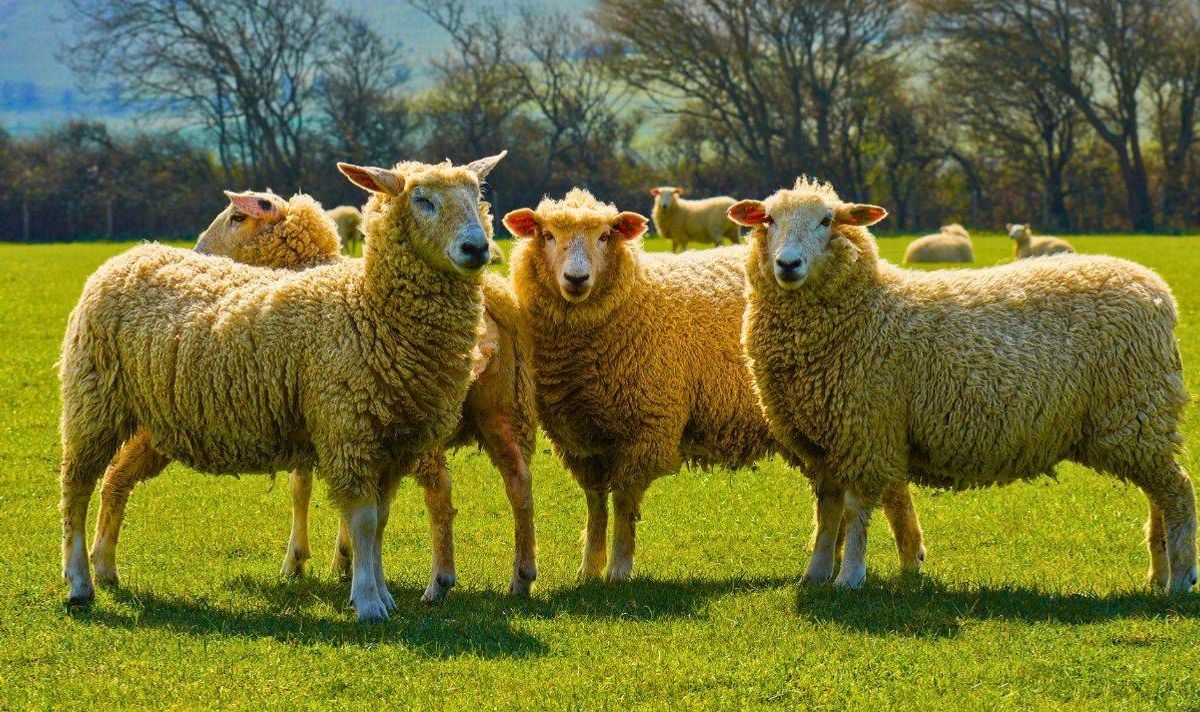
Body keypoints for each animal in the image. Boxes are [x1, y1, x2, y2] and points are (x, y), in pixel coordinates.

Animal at [59, 153, 505, 621]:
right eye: (422, 199)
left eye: (477, 197)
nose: (477, 249)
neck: (367, 309)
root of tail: (133, 253)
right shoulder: (346, 431)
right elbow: (361, 520)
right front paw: (367, 600)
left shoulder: (393, 445)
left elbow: (379, 521)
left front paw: (380, 593)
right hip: (92, 399)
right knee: (76, 486)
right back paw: (79, 581)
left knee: (108, 479)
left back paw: (103, 569)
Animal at [504, 188, 924, 582]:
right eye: (547, 235)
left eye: (606, 236)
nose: (576, 279)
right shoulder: (579, 439)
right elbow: (595, 505)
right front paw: (589, 568)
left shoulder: (647, 427)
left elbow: (623, 503)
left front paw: (619, 569)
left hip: (864, 409)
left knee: (890, 487)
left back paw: (908, 556)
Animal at [731, 176, 1195, 593]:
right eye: (768, 219)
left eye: (827, 220)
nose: (788, 264)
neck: (864, 308)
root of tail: (1158, 291)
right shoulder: (819, 443)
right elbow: (828, 513)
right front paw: (815, 574)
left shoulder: (866, 432)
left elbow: (857, 510)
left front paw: (849, 578)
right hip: (1138, 425)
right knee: (1158, 495)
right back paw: (1158, 574)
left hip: (1136, 413)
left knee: (1177, 491)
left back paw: (1182, 577)